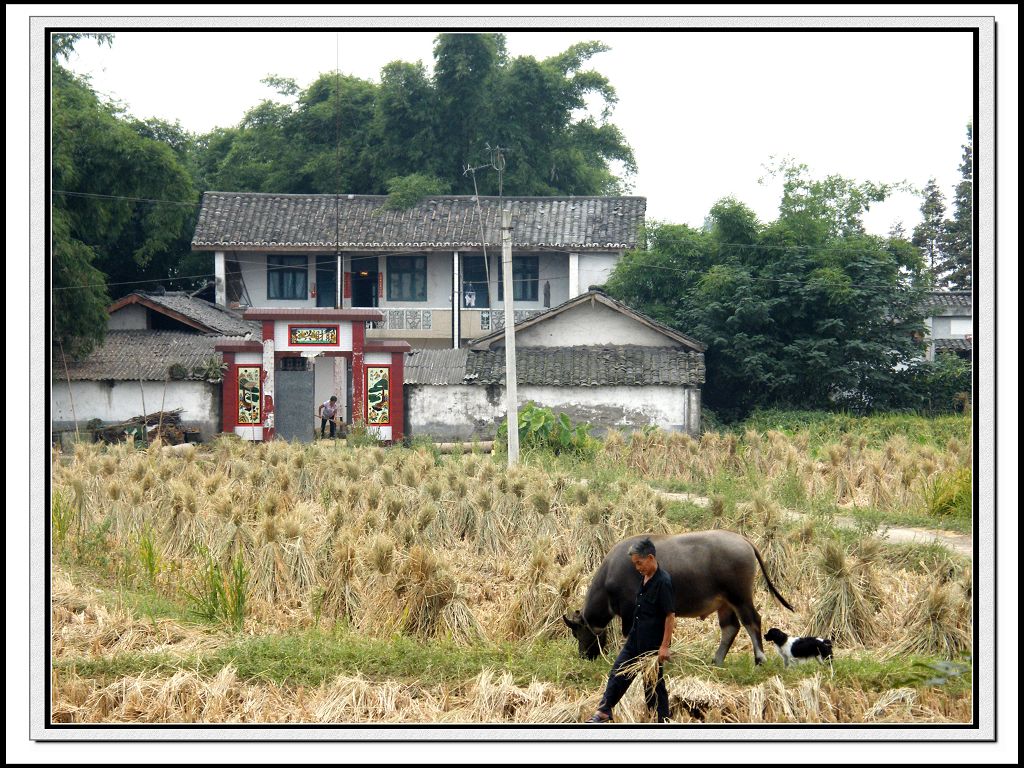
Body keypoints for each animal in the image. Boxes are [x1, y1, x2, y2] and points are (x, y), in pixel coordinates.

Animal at [569, 532, 790, 663]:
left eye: (577, 633)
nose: (583, 656)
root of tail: (743, 540)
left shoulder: (630, 610)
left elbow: (631, 635)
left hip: (740, 597)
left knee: (752, 621)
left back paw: (760, 659)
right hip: (725, 603)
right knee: (730, 628)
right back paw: (717, 661)